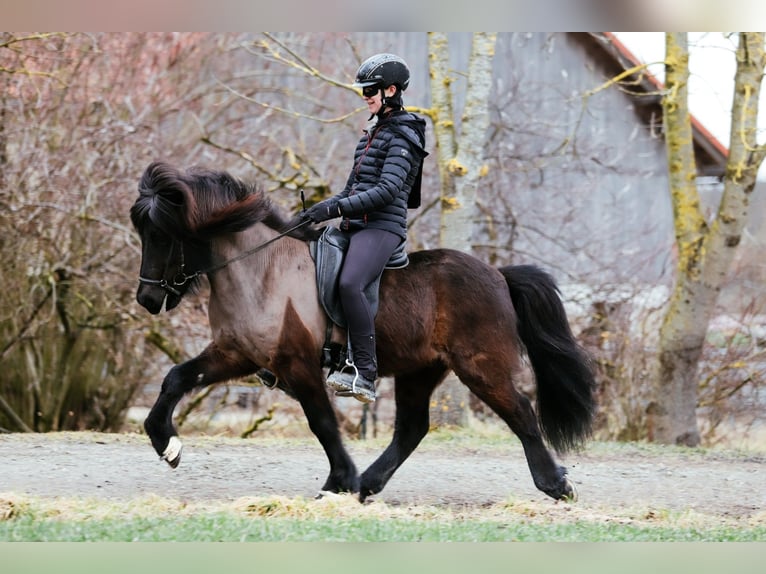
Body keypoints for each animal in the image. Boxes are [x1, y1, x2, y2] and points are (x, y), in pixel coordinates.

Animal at [130, 162, 600, 504]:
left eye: (162, 234)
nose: (147, 299)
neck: (260, 269)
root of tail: (499, 276)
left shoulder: (297, 363)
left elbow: (322, 422)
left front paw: (339, 480)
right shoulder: (236, 353)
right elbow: (176, 378)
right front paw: (166, 444)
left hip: (481, 366)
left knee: (520, 412)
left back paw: (556, 485)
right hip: (419, 371)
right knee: (412, 428)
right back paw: (369, 485)